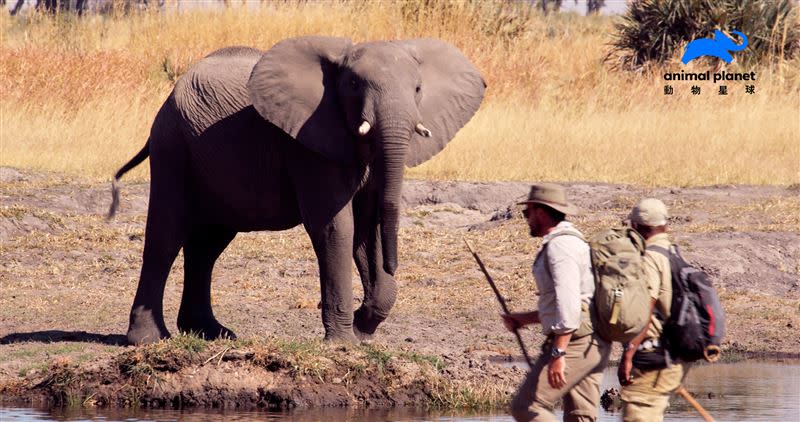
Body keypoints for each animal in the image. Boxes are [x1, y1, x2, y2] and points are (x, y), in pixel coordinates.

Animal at [110, 37, 488, 346]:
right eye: (353, 84)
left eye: (419, 88)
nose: (392, 266)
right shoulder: (308, 143)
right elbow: (337, 227)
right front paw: (344, 343)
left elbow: (367, 229)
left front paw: (362, 329)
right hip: (172, 145)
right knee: (166, 234)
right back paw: (148, 340)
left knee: (207, 245)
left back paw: (212, 333)